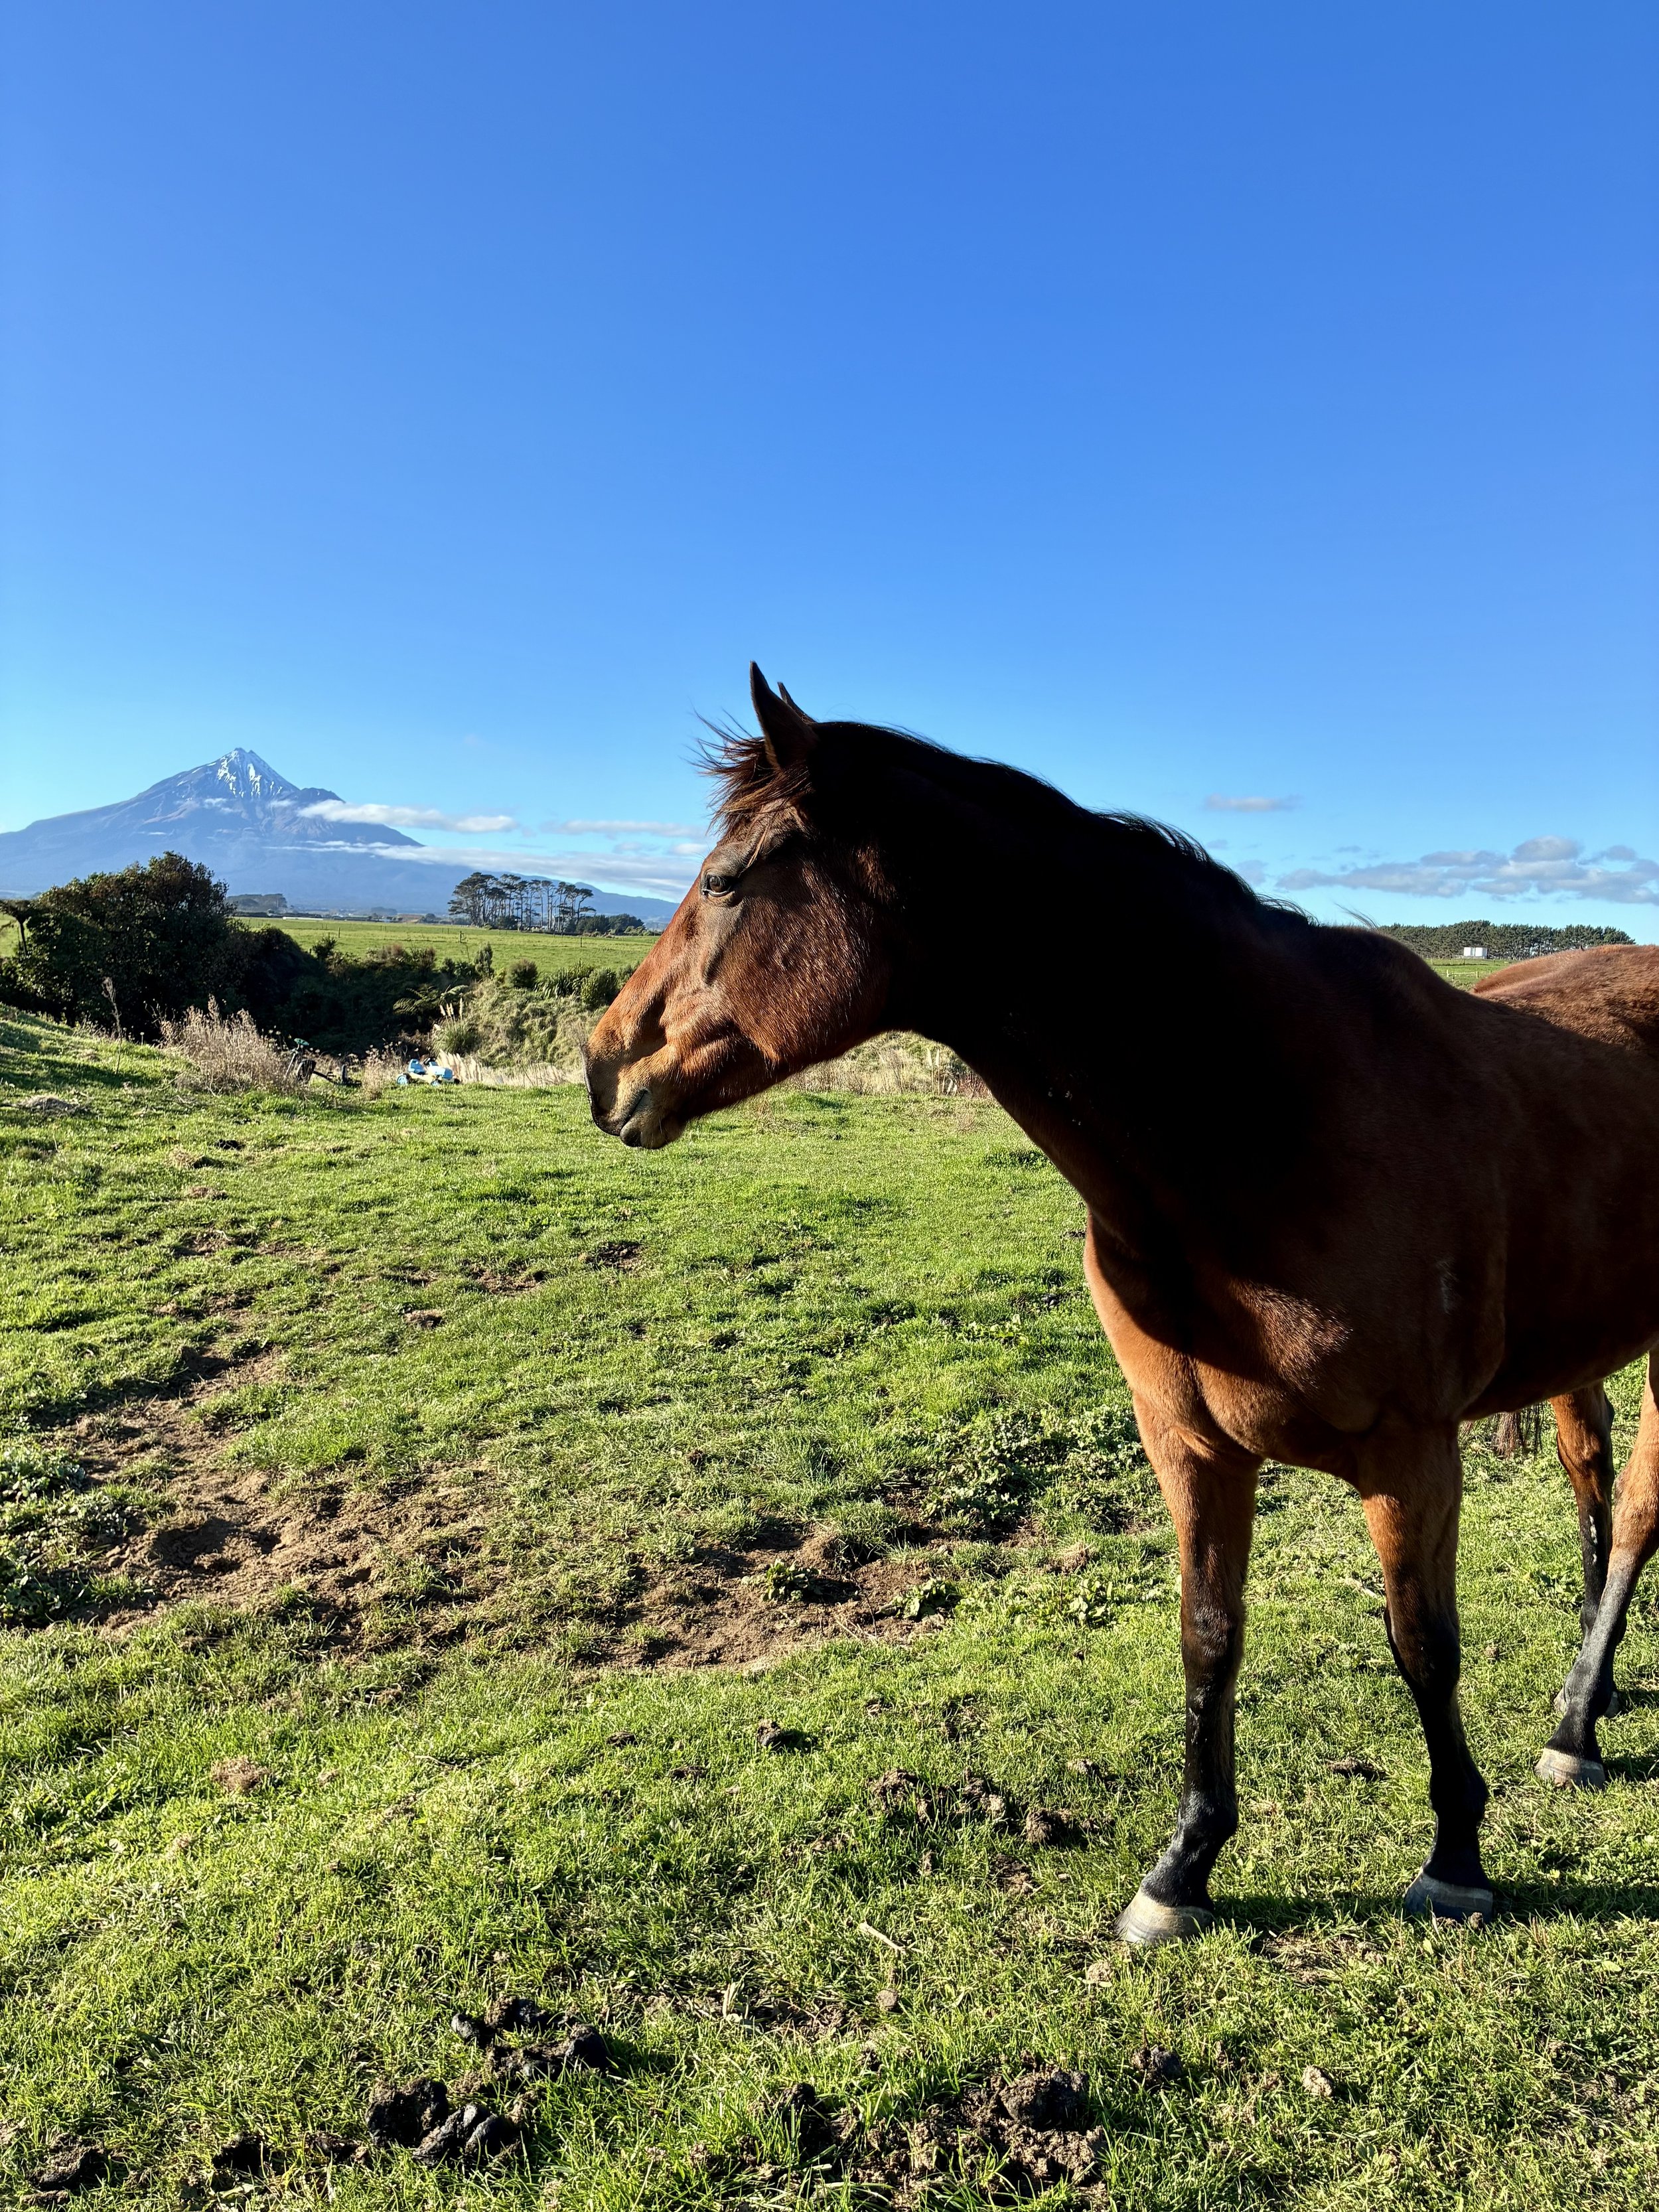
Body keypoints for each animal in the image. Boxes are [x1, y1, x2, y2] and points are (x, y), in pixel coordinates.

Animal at [586, 667, 1659, 1943]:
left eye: (729, 880)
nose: (605, 1062)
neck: (1263, 1128)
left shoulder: (1411, 1455)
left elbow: (1422, 1646)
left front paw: (1456, 1857)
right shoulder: (1190, 1443)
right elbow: (1209, 1639)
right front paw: (1183, 1867)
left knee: (1635, 1508)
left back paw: (1576, 1718)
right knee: (1595, 1479)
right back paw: (1587, 1704)